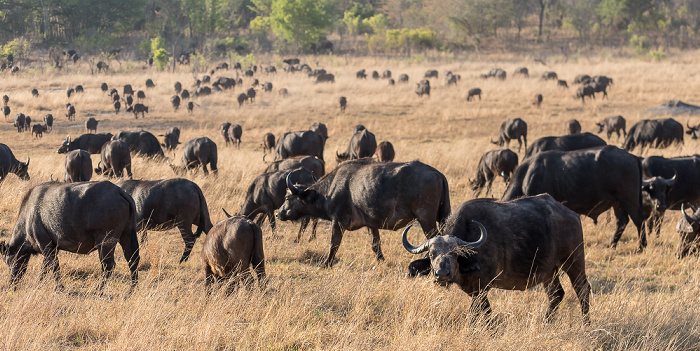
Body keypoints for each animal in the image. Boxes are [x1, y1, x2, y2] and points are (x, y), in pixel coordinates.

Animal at [0, 182, 139, 288]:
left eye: (8, 261)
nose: (12, 282)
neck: (29, 215)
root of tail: (119, 191)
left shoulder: (45, 245)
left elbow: (54, 267)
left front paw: (59, 287)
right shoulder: (52, 247)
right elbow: (45, 267)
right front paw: (40, 282)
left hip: (105, 242)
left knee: (108, 266)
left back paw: (98, 290)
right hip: (127, 235)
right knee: (132, 260)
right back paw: (131, 290)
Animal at [276, 159, 452, 266]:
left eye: (287, 197)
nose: (278, 214)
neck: (329, 191)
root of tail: (438, 174)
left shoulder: (337, 222)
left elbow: (334, 244)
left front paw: (326, 263)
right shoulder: (371, 224)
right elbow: (376, 244)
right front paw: (381, 261)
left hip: (426, 219)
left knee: (435, 239)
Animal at [404, 195, 592, 324]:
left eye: (455, 254)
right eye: (431, 254)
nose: (441, 274)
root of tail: (572, 215)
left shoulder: (482, 287)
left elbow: (476, 312)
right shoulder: (475, 290)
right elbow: (486, 311)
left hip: (574, 261)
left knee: (582, 290)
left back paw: (586, 324)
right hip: (548, 272)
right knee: (556, 295)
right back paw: (546, 322)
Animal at [504, 146, 644, 253]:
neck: (527, 176)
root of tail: (632, 157)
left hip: (629, 199)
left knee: (639, 220)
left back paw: (641, 247)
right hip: (617, 202)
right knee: (622, 222)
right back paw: (612, 245)